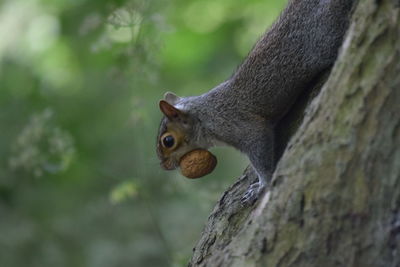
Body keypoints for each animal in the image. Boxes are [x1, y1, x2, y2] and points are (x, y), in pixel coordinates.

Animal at [155, 0, 354, 205]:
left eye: (168, 141)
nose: (164, 166)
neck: (205, 115)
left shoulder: (242, 127)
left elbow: (260, 152)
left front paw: (261, 186)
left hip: (328, 37)